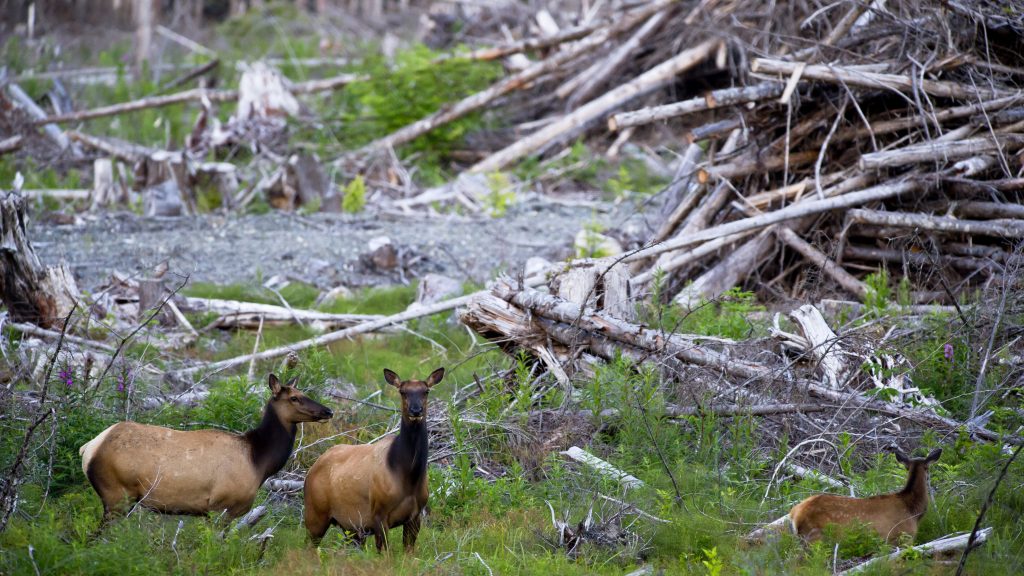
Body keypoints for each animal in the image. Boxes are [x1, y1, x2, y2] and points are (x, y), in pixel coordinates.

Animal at [79, 375, 329, 522]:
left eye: (304, 393)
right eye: (295, 398)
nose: (328, 411)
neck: (259, 461)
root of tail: (88, 448)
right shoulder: (222, 506)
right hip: (115, 495)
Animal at [299, 364, 444, 549]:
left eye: (426, 391)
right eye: (402, 391)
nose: (416, 410)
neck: (409, 475)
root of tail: (310, 471)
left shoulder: (415, 516)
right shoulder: (378, 514)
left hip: (351, 528)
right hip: (315, 515)